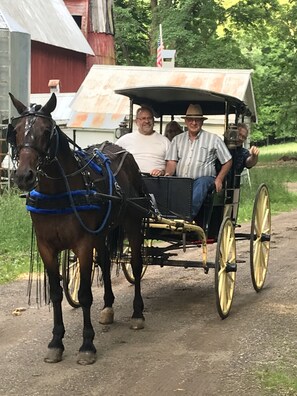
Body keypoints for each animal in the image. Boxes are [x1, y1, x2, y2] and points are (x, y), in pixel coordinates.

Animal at [7, 93, 148, 366]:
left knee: (136, 265)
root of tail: (122, 152)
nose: (24, 176)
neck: (59, 194)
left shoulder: (82, 244)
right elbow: (55, 292)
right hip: (101, 232)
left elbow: (83, 294)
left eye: (47, 131)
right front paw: (55, 342)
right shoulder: (47, 247)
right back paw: (108, 307)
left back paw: (137, 313)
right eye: (16, 131)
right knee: (105, 263)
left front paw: (87, 345)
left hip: (133, 224)